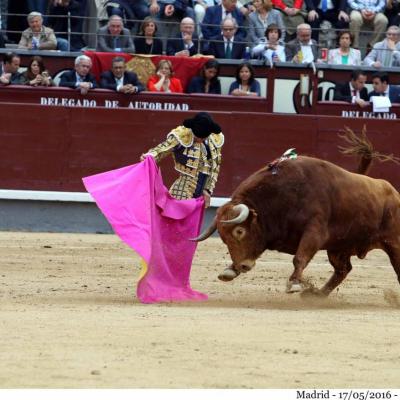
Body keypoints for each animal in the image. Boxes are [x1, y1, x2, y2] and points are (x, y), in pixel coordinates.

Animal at [194, 130, 400, 296]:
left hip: (393, 242)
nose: (242, 266)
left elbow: (299, 257)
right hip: (338, 247)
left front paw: (294, 284)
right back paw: (317, 295)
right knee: (343, 269)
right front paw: (229, 270)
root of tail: (393, 191)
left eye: (239, 231)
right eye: (223, 239)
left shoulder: (315, 230)